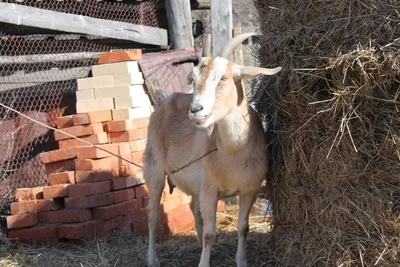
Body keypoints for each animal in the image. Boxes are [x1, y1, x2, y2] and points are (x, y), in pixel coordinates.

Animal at [144, 32, 282, 266]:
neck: (233, 152)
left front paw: (242, 261)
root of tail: (163, 102)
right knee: (152, 216)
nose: (196, 111)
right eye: (193, 79)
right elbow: (211, 233)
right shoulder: (209, 188)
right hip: (153, 167)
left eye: (224, 78)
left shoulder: (250, 189)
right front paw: (204, 262)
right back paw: (152, 259)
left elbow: (243, 228)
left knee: (192, 206)